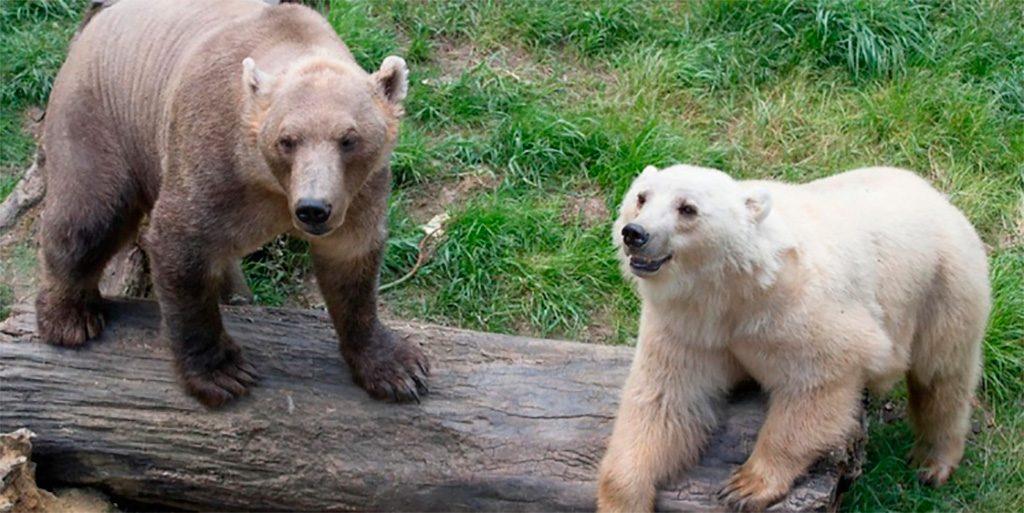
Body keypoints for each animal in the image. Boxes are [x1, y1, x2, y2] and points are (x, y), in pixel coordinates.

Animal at [35, 0, 429, 408]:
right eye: (287, 140)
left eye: (349, 138)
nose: (313, 209)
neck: (268, 184)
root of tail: (96, 19)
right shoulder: (213, 161)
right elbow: (182, 247)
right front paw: (222, 372)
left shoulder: (360, 191)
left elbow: (352, 264)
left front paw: (398, 367)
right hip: (101, 118)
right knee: (90, 215)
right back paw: (69, 317)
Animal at [596, 165, 990, 512]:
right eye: (642, 197)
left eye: (687, 208)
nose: (635, 233)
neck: (733, 290)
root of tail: (937, 196)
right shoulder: (688, 328)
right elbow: (665, 402)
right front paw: (624, 497)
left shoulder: (798, 313)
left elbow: (816, 386)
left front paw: (746, 485)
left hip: (943, 285)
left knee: (942, 376)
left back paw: (932, 461)